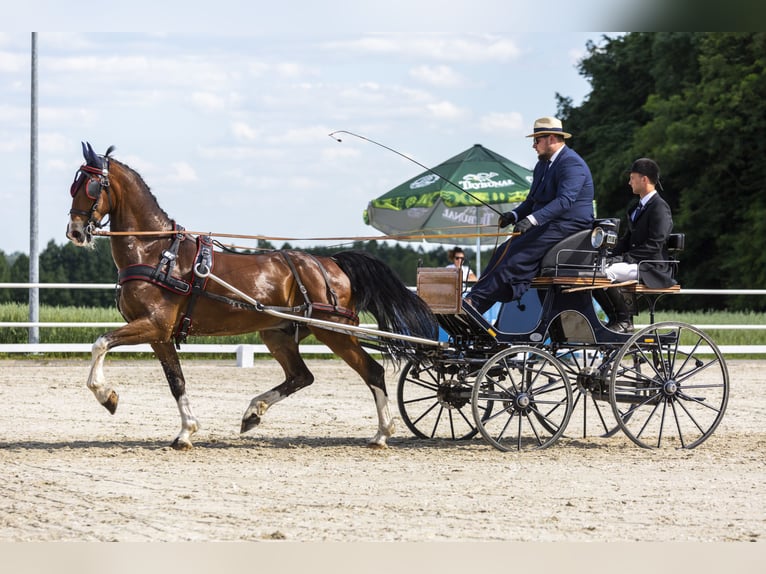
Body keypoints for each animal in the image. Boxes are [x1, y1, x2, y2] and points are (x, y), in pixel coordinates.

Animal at [66, 142, 437, 450]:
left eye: (91, 186)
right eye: (73, 185)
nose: (74, 232)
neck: (157, 252)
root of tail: (331, 262)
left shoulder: (154, 325)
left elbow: (100, 342)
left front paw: (107, 396)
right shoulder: (161, 335)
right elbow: (176, 382)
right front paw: (186, 432)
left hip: (333, 330)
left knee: (372, 372)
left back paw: (382, 434)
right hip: (277, 332)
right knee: (301, 376)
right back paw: (253, 413)